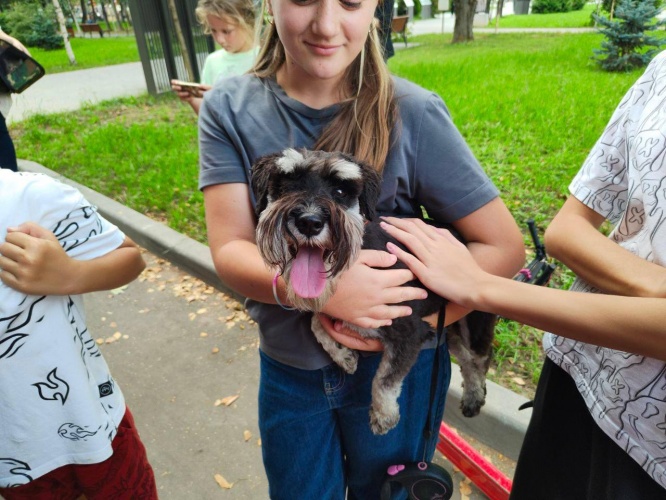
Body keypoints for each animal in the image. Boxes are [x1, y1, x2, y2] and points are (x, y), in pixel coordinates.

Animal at [252, 147, 496, 434]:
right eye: (286, 184)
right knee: (466, 358)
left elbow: (384, 379)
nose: (309, 222)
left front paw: (383, 414)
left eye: (340, 191)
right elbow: (316, 323)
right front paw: (343, 355)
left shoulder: (409, 333)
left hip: (474, 323)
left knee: (479, 358)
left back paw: (475, 395)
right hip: (450, 327)